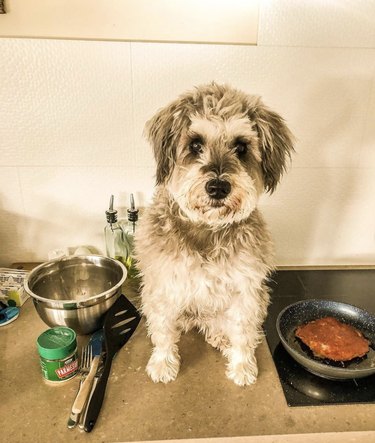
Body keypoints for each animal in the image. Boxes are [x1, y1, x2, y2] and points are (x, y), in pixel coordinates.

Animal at [134, 83, 296, 386]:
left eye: (241, 146)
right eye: (195, 144)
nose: (218, 187)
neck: (207, 228)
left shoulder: (246, 289)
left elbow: (243, 331)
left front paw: (243, 367)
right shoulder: (162, 286)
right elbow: (162, 330)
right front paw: (163, 363)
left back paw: (222, 337)